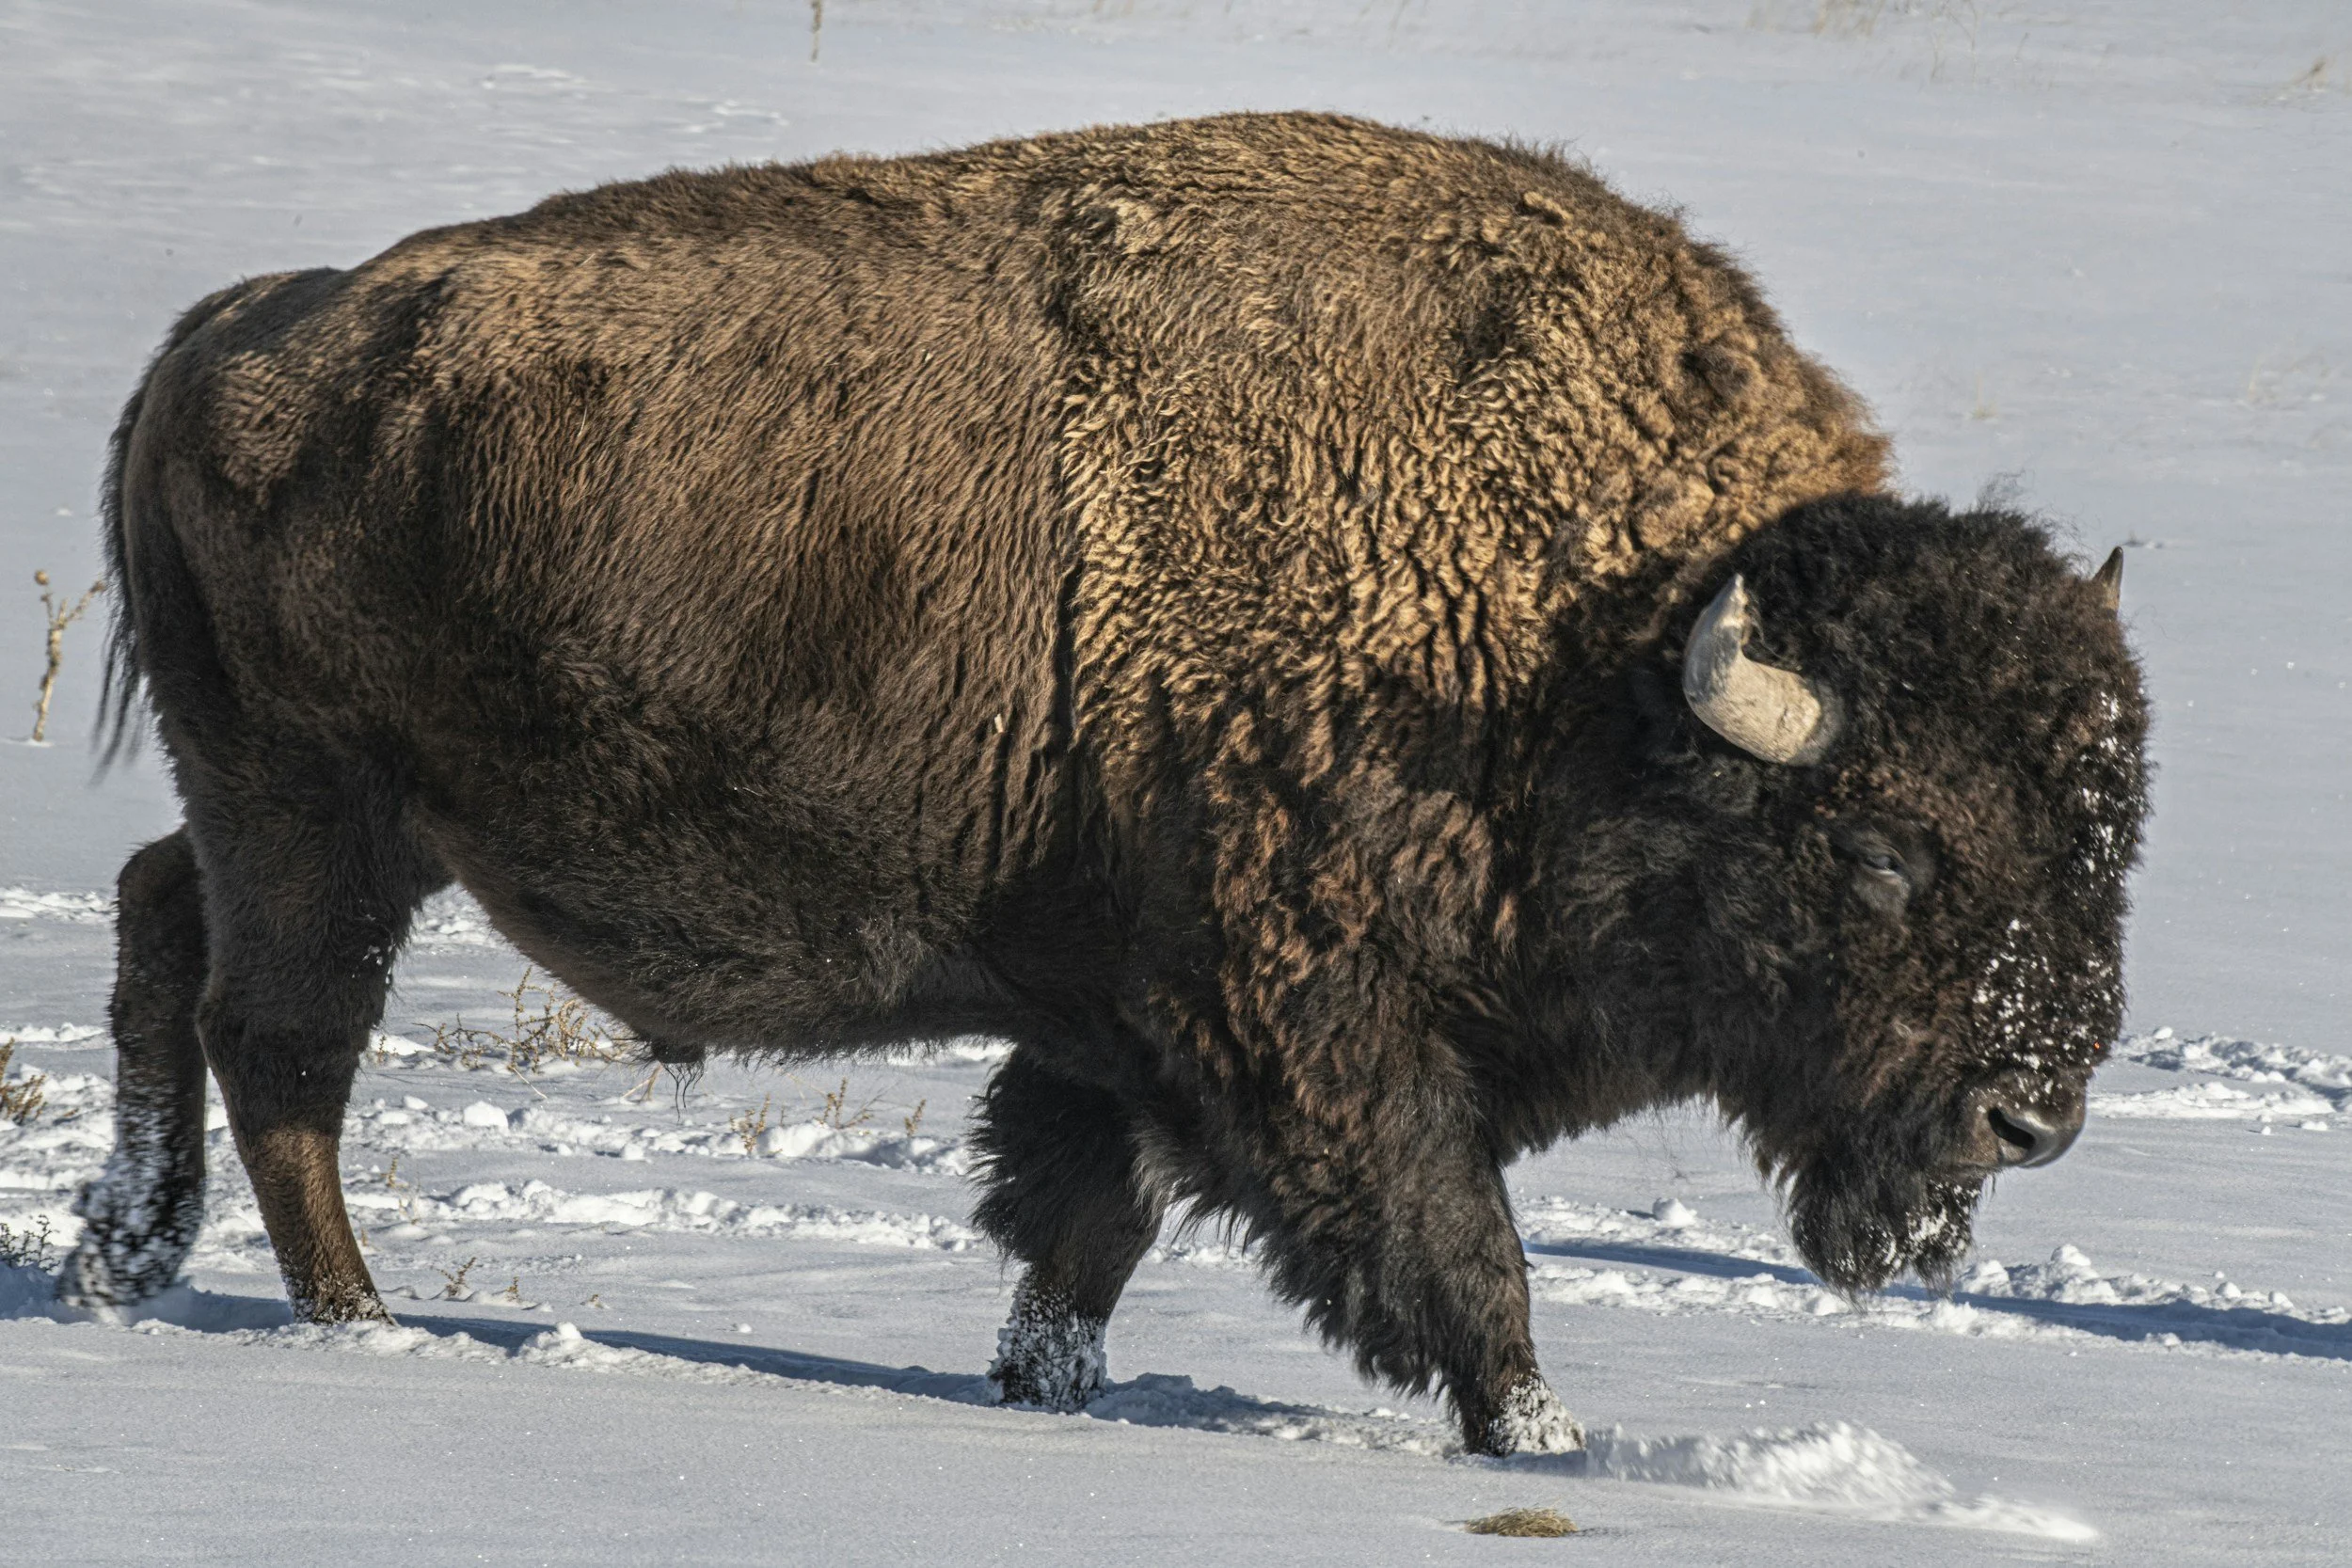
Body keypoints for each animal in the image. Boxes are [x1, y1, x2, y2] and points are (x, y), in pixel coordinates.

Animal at [61, 112, 2147, 1455]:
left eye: (2103, 842)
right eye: (1885, 853)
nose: (2031, 1110)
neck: (1592, 646)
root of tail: (228, 332)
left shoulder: (1122, 1025)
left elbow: (1083, 1228)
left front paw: (1039, 1396)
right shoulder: (1313, 1035)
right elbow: (1454, 1255)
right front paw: (1546, 1443)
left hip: (299, 816)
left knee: (163, 924)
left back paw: (120, 1260)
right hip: (323, 823)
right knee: (281, 1043)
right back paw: (355, 1321)